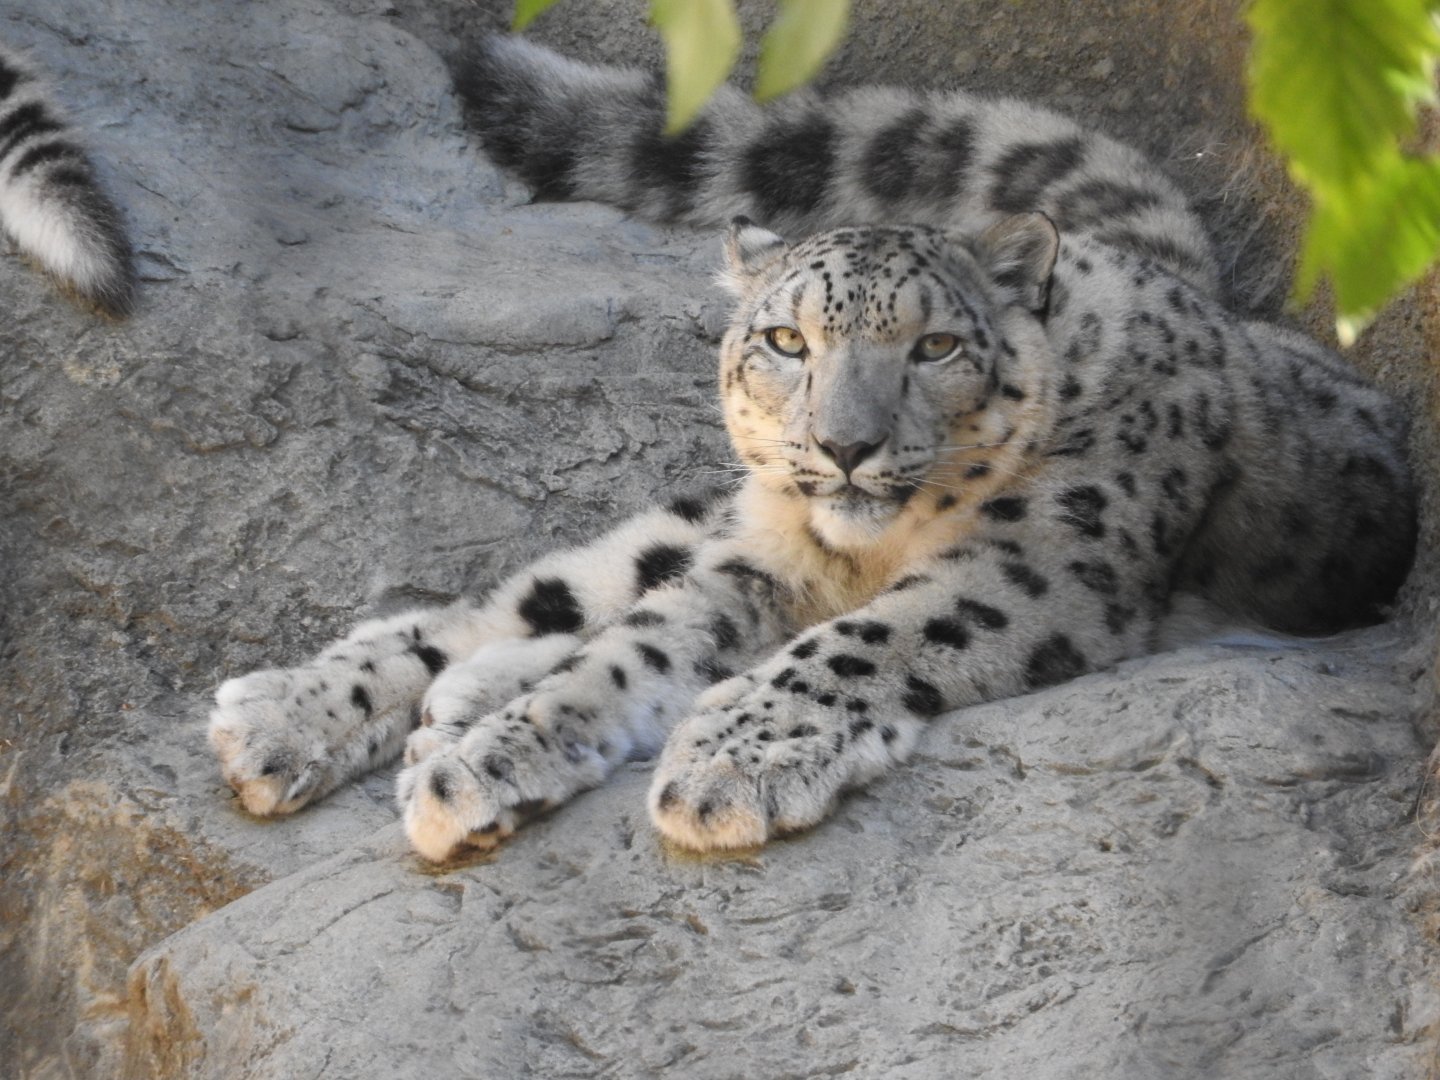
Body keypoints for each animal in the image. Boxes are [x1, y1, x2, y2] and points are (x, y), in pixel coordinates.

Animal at [209, 36, 1416, 861]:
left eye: (935, 345)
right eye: (789, 340)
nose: (842, 446)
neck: (858, 551)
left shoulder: (1038, 561)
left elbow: (860, 644)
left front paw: (723, 763)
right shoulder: (761, 563)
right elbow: (631, 649)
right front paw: (482, 766)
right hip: (719, 510)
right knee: (545, 594)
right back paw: (293, 715)